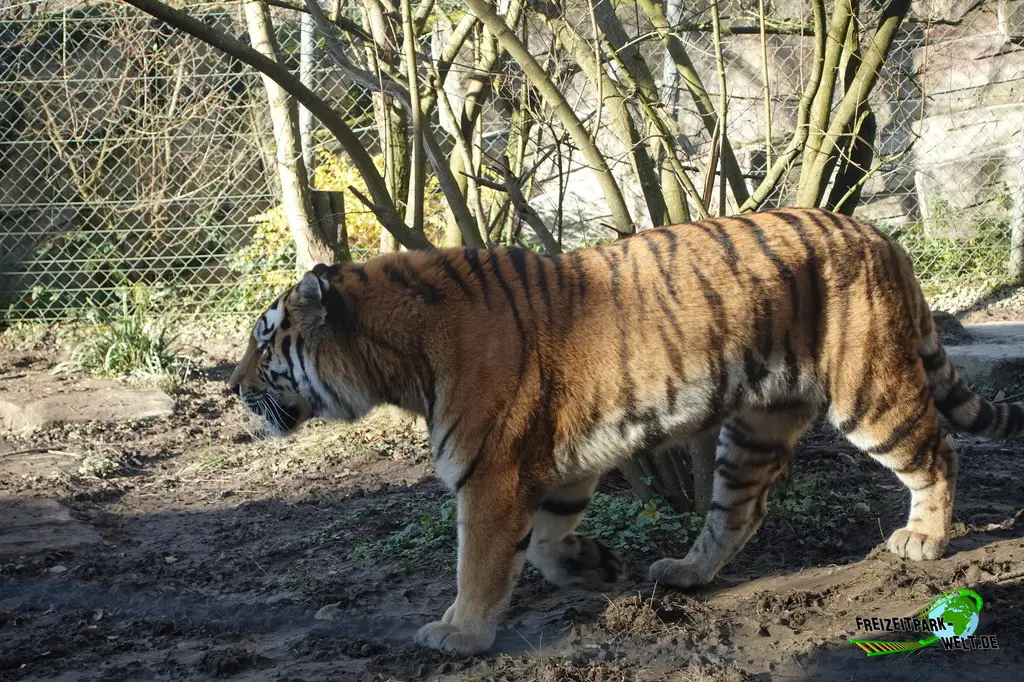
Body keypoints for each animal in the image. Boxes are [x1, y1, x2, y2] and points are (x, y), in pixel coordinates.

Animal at [228, 207, 1023, 655]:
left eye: (265, 343)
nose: (232, 389)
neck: (398, 360)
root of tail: (879, 234)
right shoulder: (560, 467)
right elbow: (544, 546)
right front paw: (595, 567)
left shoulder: (492, 475)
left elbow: (478, 564)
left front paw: (459, 633)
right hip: (756, 425)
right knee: (740, 512)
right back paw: (684, 573)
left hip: (870, 389)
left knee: (939, 452)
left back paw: (923, 541)